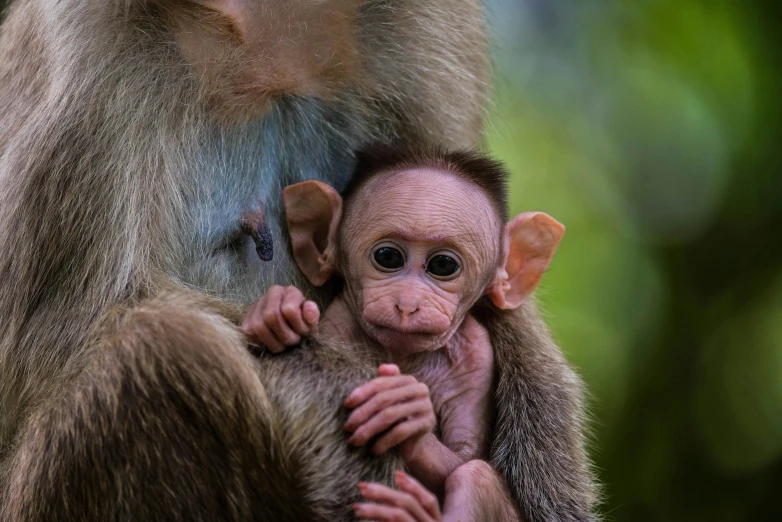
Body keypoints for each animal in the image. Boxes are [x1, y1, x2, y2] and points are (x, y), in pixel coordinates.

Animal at [242, 144, 568, 516]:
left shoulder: (477, 356)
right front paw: (276, 312)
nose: (408, 304)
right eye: (388, 257)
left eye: (444, 265)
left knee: (476, 475)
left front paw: (407, 412)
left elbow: (466, 454)